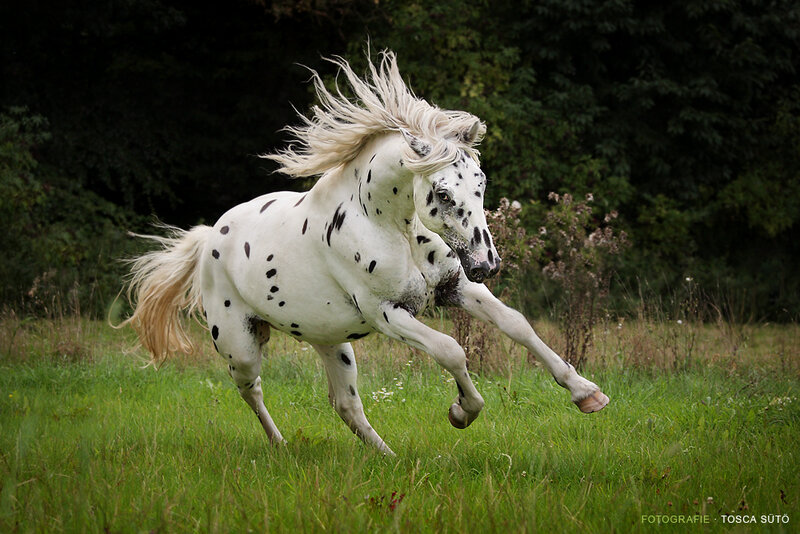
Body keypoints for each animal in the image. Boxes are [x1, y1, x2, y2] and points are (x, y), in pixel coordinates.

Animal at [121, 51, 609, 456]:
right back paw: (280, 444)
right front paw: (461, 412)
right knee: (250, 388)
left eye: (481, 182)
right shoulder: (387, 313)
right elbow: (451, 350)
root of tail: (210, 237)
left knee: (345, 405)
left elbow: (517, 325)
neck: (390, 225)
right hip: (238, 344)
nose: (487, 264)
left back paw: (386, 457)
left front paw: (587, 394)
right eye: (443, 193)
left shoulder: (455, 287)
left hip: (330, 341)